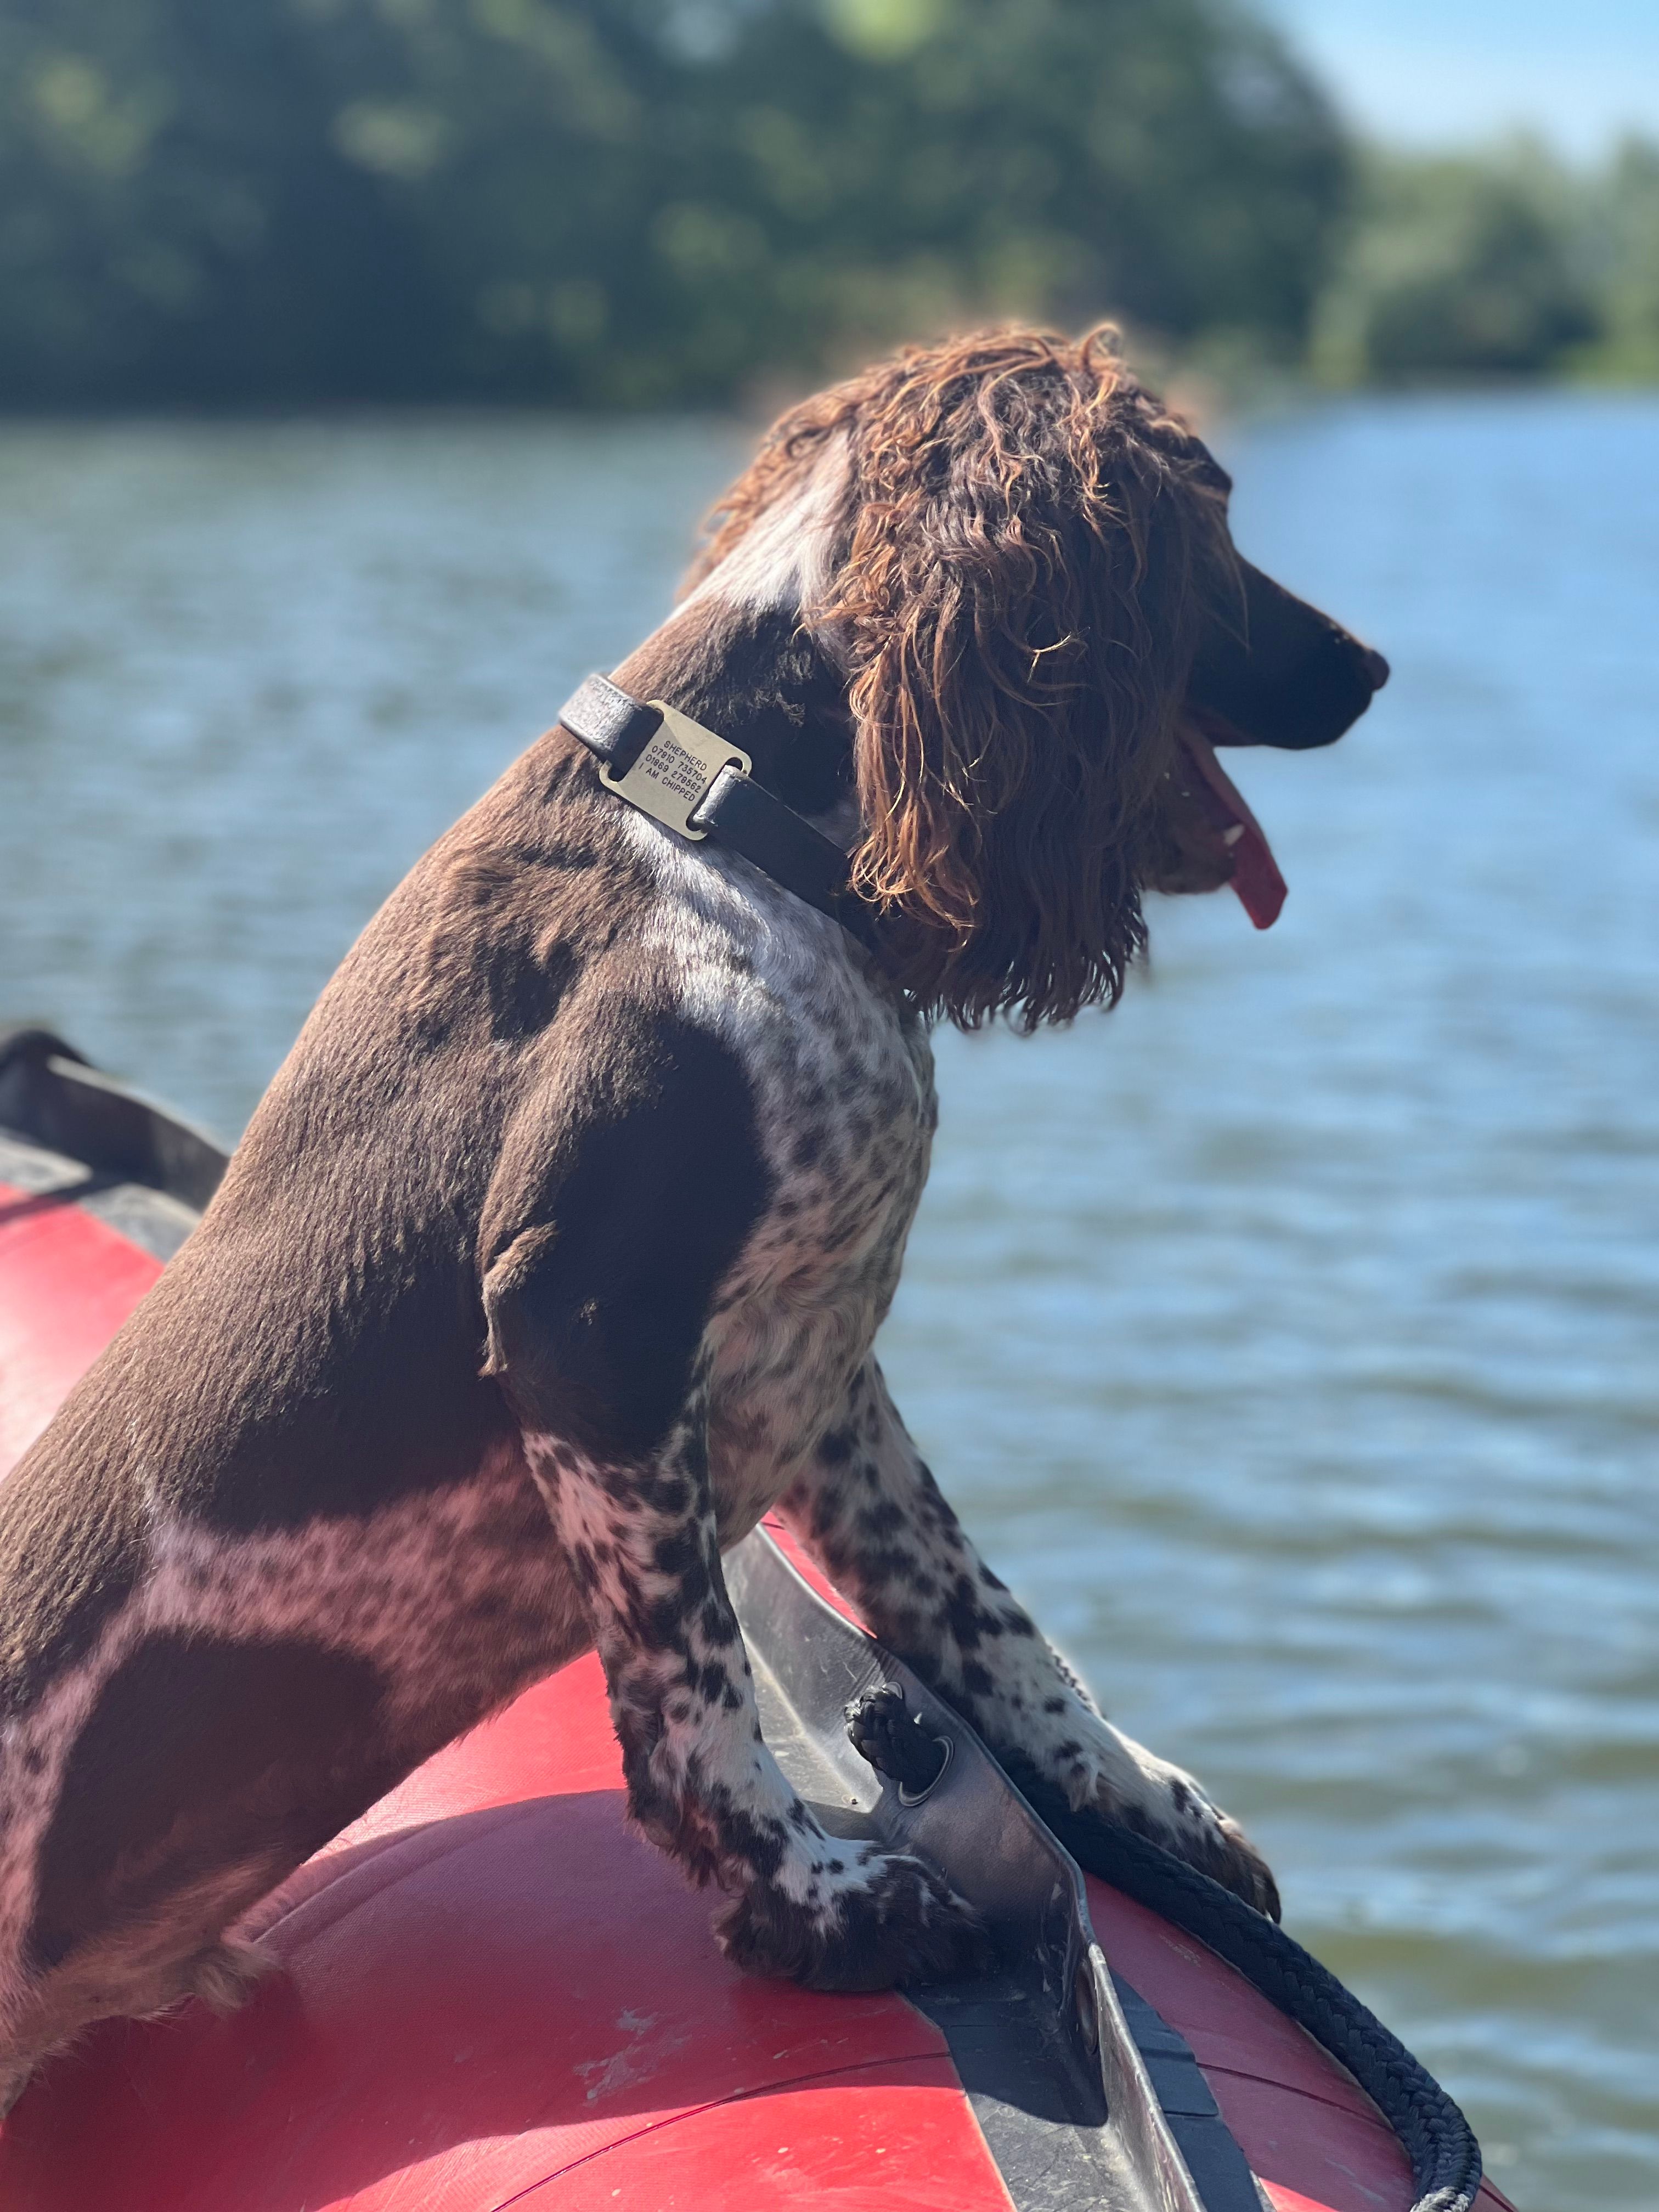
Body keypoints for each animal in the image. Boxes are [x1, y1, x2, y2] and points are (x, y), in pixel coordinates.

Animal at [0, 323, 1380, 2088]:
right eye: (1207, 511)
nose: (1370, 667)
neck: (732, 817)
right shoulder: (584, 1311)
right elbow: (694, 1690)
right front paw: (823, 1909)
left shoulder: (826, 1336)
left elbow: (973, 1606)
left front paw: (1133, 1794)